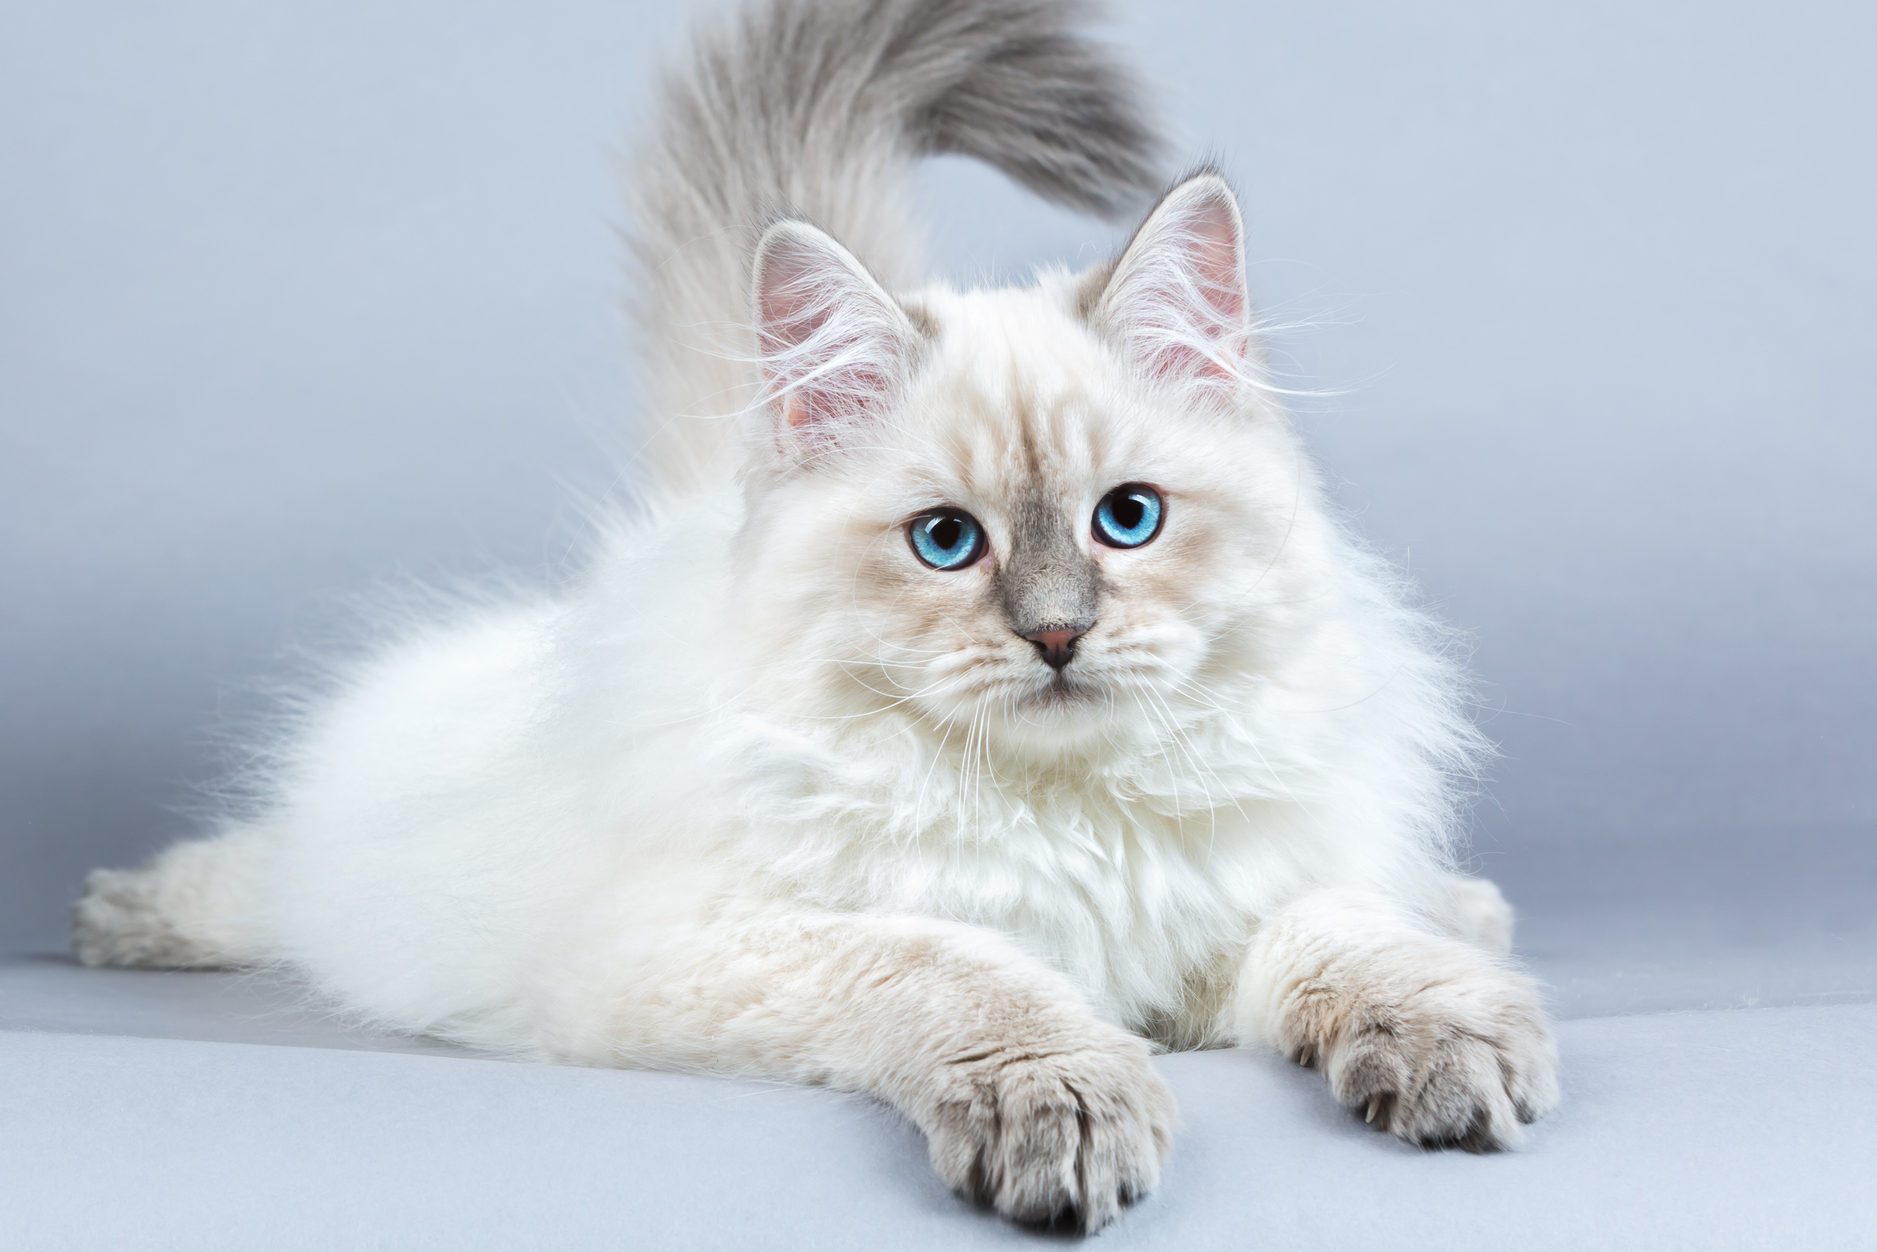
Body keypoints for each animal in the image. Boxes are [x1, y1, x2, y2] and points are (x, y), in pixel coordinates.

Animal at [73, 0, 1561, 1231]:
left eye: (1125, 521)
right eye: (947, 542)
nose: (1056, 634)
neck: (1062, 818)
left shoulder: (1227, 912)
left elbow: (1343, 934)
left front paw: (1456, 1046)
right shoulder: (719, 946)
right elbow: (957, 966)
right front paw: (1065, 1104)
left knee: (1405, 889)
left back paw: (1472, 911)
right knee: (268, 879)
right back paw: (125, 917)